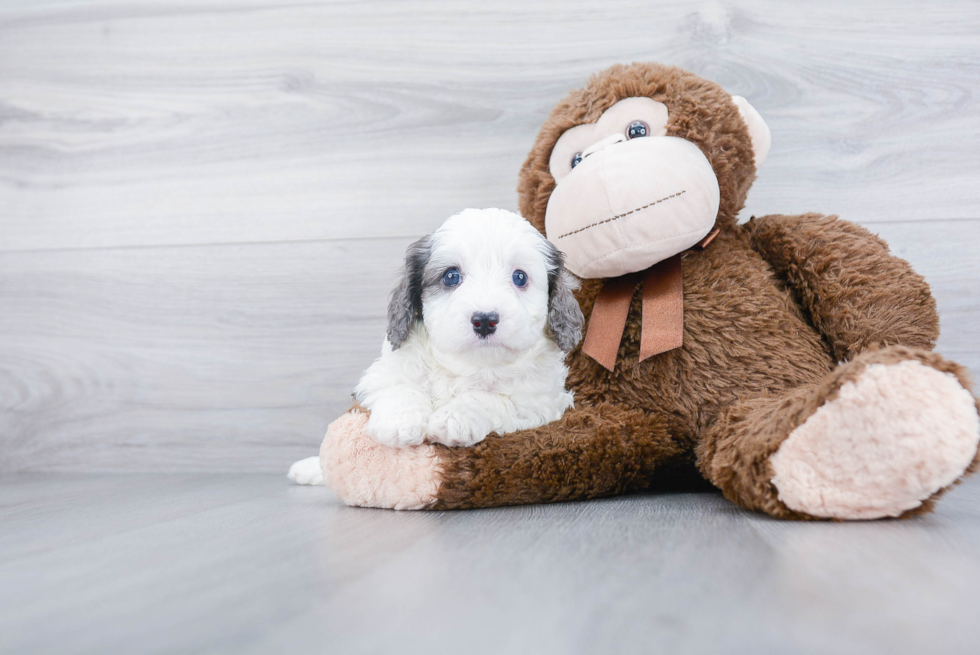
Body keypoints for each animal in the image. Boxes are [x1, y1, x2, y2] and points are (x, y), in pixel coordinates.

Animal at [290, 210, 580, 486]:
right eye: (451, 276)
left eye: (519, 277)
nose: (485, 320)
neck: (468, 365)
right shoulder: (380, 376)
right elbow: (400, 386)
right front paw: (400, 421)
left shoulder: (540, 404)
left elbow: (491, 398)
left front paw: (456, 418)